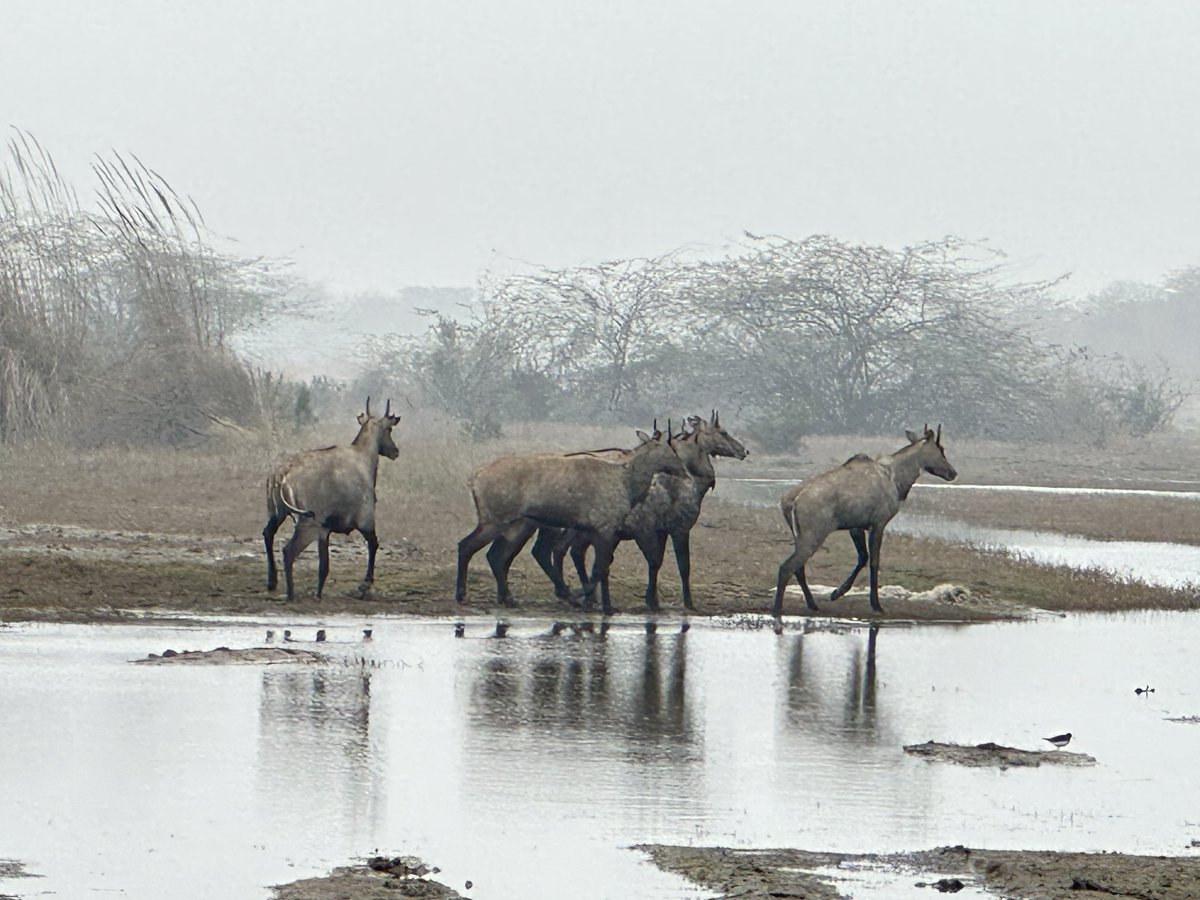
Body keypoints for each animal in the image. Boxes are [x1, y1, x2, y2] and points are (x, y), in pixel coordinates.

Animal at [263, 398, 402, 601]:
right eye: (389, 429)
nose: (395, 451)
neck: (366, 459)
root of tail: (280, 476)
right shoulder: (365, 519)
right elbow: (374, 545)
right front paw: (364, 585)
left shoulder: (326, 530)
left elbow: (324, 565)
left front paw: (319, 593)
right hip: (308, 522)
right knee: (289, 551)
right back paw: (290, 593)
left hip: (277, 513)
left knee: (268, 534)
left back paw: (272, 582)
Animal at [455, 427, 688, 614]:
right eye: (670, 450)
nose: (684, 470)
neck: (628, 488)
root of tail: (474, 478)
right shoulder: (604, 526)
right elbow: (599, 568)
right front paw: (587, 599)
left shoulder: (597, 529)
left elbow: (600, 567)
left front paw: (599, 603)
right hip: (497, 518)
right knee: (467, 545)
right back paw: (462, 594)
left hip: (515, 523)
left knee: (494, 554)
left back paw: (506, 598)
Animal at [531, 411, 748, 611]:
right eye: (724, 432)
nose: (744, 451)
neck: (694, 481)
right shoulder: (676, 528)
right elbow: (680, 566)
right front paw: (686, 603)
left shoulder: (658, 530)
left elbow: (654, 562)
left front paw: (652, 600)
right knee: (562, 550)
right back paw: (578, 596)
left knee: (563, 552)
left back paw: (580, 597)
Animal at [773, 425, 956, 616]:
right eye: (941, 450)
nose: (953, 472)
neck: (898, 481)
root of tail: (789, 501)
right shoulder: (878, 523)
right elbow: (874, 561)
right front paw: (876, 604)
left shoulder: (856, 526)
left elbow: (863, 557)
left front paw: (837, 592)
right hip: (814, 534)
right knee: (786, 567)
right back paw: (777, 608)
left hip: (799, 536)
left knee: (798, 568)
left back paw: (813, 604)